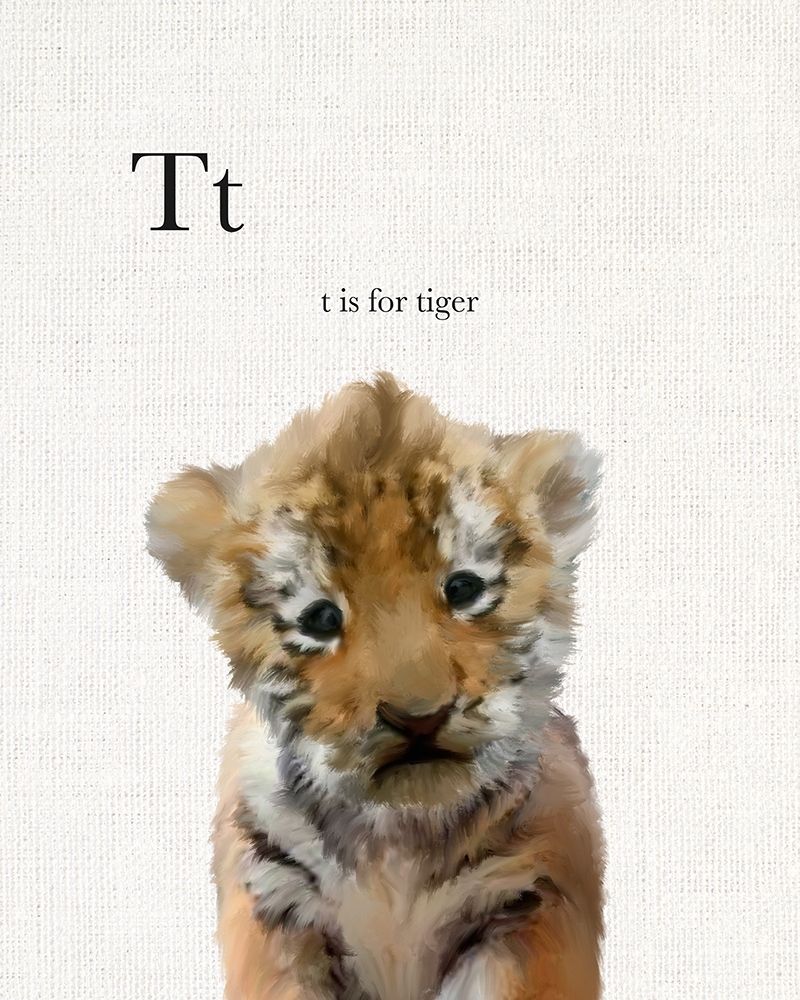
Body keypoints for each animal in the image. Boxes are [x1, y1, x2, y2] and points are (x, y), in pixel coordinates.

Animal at [146, 373, 605, 999]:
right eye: (320, 619)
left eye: (463, 589)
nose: (418, 717)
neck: (398, 844)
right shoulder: (274, 904)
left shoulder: (532, 899)